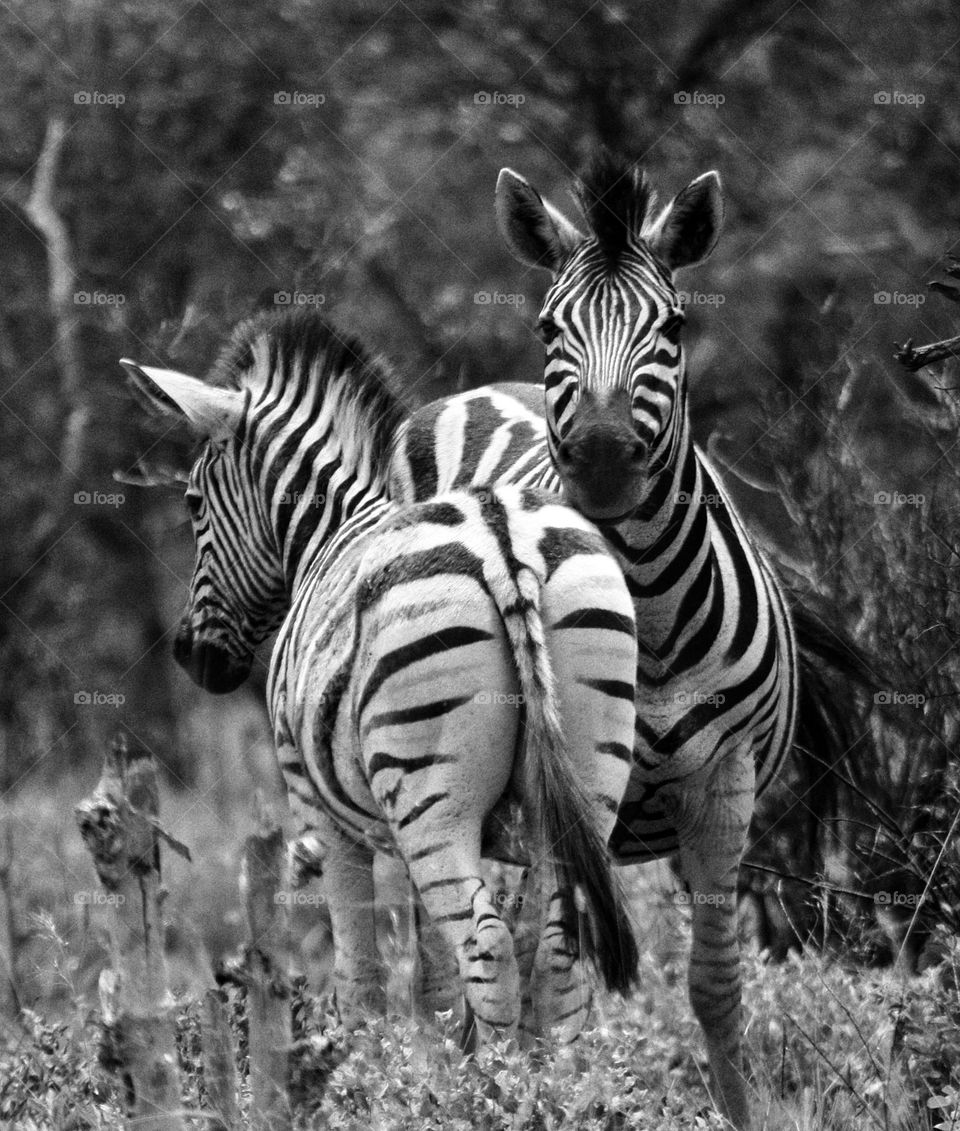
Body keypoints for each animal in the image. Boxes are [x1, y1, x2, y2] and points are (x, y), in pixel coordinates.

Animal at [121, 308, 641, 1047]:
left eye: (193, 503)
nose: (193, 658)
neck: (330, 528)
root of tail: (501, 537)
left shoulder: (314, 804)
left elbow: (360, 977)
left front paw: (364, 1063)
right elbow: (433, 979)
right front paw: (439, 1059)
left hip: (432, 799)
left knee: (487, 943)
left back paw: (506, 1077)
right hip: (587, 769)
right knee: (556, 943)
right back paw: (562, 1075)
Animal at [391, 151, 803, 1128]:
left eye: (676, 325)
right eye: (549, 325)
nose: (607, 455)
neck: (648, 610)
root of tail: (487, 390)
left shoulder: (725, 785)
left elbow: (715, 985)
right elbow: (554, 970)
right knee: (459, 960)